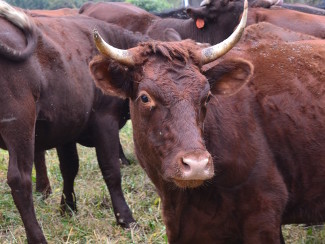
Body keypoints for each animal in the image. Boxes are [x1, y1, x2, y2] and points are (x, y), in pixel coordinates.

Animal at [0, 1, 154, 242]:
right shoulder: (105, 120)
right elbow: (111, 170)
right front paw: (126, 219)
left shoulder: (66, 126)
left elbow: (69, 167)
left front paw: (68, 208)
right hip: (19, 124)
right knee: (19, 180)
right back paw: (37, 237)